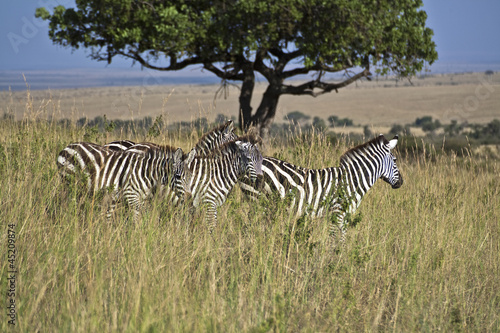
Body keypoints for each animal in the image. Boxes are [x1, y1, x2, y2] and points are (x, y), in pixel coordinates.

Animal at [237, 133, 402, 244]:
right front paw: (332, 260)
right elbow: (334, 238)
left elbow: (342, 239)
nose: (401, 182)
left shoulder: (344, 215)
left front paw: (340, 259)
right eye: (394, 160)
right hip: (260, 201)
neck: (353, 180)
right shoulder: (337, 212)